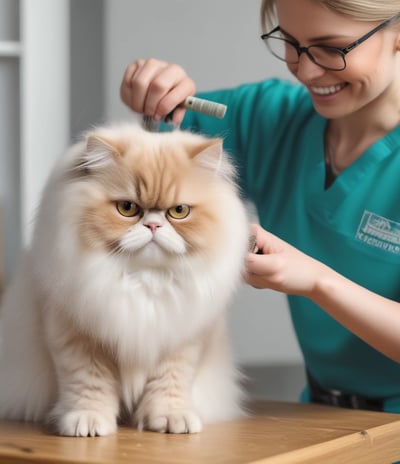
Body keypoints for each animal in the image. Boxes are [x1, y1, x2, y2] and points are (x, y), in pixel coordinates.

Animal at [0, 122, 250, 436]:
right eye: (128, 208)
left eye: (179, 211)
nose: (153, 225)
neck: (143, 279)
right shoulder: (75, 335)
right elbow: (87, 384)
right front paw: (87, 421)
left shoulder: (182, 339)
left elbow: (170, 383)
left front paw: (170, 419)